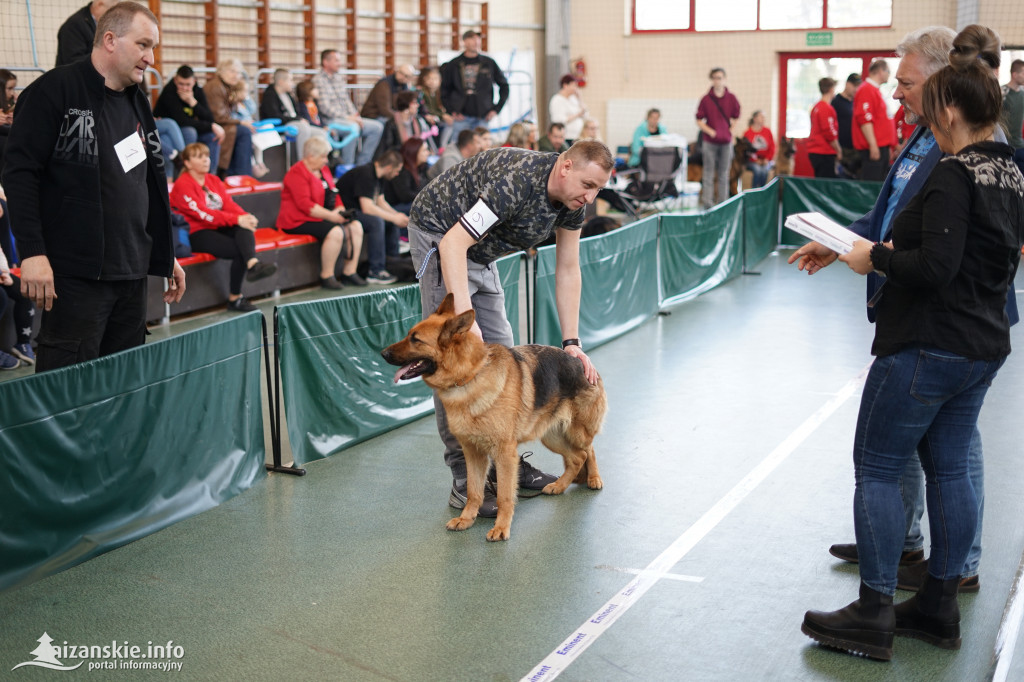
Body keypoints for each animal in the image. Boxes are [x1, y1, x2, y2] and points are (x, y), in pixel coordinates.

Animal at [385, 292, 606, 540]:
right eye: (408, 335)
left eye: (415, 339)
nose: (383, 353)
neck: (469, 377)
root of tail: (580, 360)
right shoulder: (473, 453)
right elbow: (474, 491)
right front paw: (466, 519)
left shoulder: (504, 455)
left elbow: (505, 496)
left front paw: (501, 527)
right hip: (552, 436)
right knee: (576, 458)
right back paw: (560, 485)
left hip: (577, 432)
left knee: (589, 451)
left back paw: (594, 478)